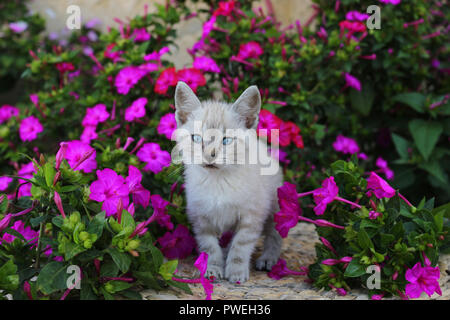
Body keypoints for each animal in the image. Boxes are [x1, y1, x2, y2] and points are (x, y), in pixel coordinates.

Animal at [175, 80, 284, 282]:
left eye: (226, 141)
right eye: (196, 138)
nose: (209, 156)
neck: (218, 181)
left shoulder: (251, 216)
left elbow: (240, 246)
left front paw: (236, 272)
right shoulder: (201, 217)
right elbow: (209, 247)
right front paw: (212, 268)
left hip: (275, 207)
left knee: (275, 235)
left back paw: (268, 259)